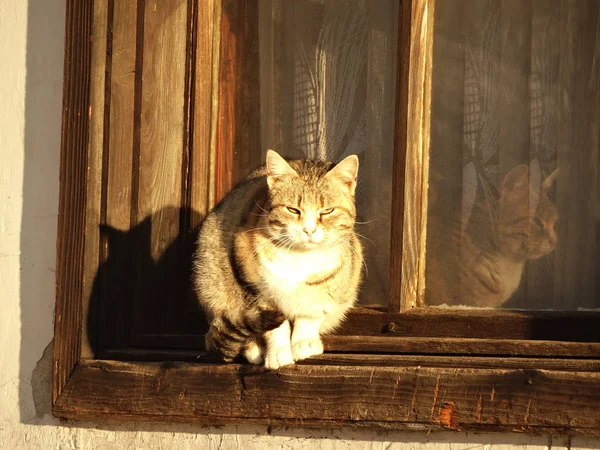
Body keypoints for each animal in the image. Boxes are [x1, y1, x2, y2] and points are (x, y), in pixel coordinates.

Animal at [193, 151, 360, 370]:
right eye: (293, 210)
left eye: (327, 211)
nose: (309, 230)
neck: (301, 257)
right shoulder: (255, 288)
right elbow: (275, 327)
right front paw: (278, 353)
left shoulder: (325, 286)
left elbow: (309, 312)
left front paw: (304, 342)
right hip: (210, 281)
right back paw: (254, 349)